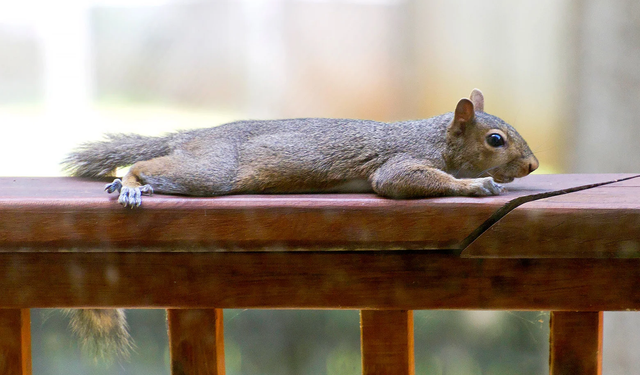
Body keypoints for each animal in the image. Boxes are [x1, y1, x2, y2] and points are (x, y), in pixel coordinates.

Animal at [61, 89, 540, 358]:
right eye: (495, 140)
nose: (534, 165)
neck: (434, 138)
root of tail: (192, 137)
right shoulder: (402, 162)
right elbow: (402, 181)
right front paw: (478, 184)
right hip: (210, 172)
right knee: (146, 165)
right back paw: (130, 184)